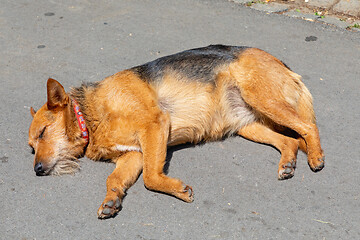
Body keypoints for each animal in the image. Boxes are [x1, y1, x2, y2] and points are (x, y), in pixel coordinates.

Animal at [28, 44, 324, 218]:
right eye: (31, 148)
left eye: (43, 133)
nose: (37, 171)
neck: (90, 115)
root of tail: (284, 65)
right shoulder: (133, 155)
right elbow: (114, 180)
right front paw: (111, 200)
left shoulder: (155, 125)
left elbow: (151, 177)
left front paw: (177, 190)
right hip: (248, 125)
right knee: (291, 141)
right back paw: (287, 163)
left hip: (263, 100)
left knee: (308, 127)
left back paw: (316, 157)